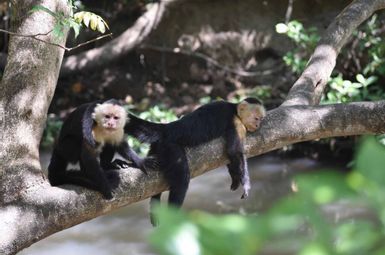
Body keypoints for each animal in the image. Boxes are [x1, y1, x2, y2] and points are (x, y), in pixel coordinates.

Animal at [124, 96, 266, 224]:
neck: (234, 109)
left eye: (261, 119)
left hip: (157, 147)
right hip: (170, 146)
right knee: (182, 178)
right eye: (256, 118)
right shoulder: (236, 123)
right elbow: (234, 151)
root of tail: (168, 128)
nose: (258, 125)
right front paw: (245, 184)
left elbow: (231, 156)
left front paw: (235, 179)